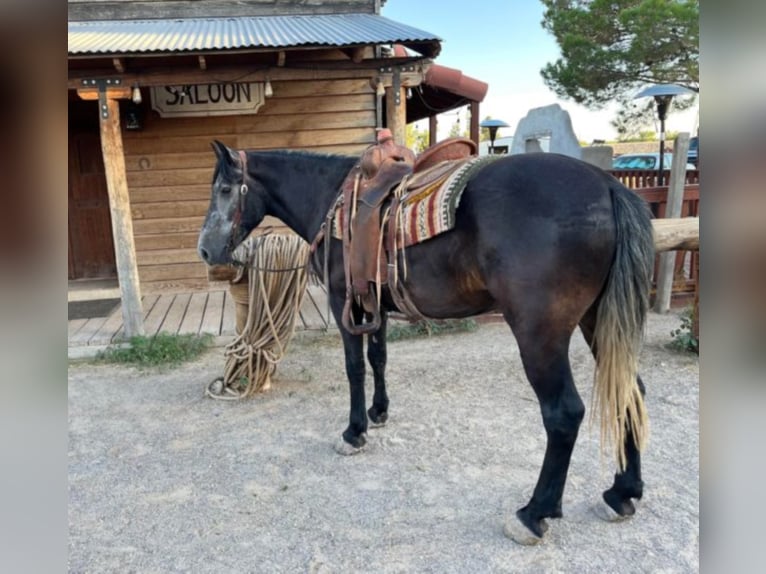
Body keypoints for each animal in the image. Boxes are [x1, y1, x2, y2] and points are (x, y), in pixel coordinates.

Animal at [196, 140, 656, 544]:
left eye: (224, 190)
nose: (204, 250)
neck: (330, 200)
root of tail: (609, 185)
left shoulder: (344, 303)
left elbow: (354, 368)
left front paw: (354, 432)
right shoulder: (374, 303)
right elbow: (379, 358)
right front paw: (379, 412)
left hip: (539, 333)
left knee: (564, 413)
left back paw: (533, 514)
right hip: (598, 321)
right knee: (631, 391)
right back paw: (622, 492)